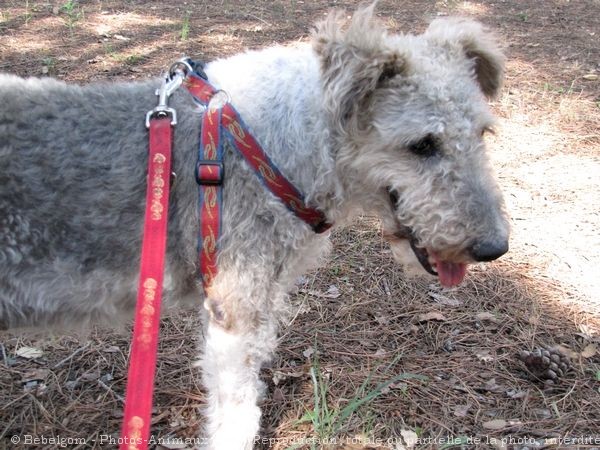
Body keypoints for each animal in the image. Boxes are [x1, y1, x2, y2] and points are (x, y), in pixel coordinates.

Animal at [0, 5, 508, 448]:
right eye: (422, 144)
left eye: (483, 133)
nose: (494, 247)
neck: (278, 148)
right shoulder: (234, 308)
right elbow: (237, 418)